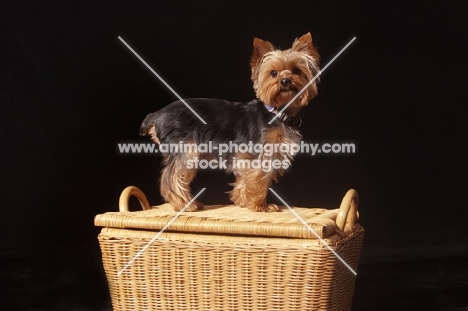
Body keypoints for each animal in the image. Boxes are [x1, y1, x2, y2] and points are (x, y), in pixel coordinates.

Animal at [141, 33, 320, 213]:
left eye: (296, 70)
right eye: (274, 73)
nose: (285, 81)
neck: (278, 113)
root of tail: (157, 114)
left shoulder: (246, 155)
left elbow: (244, 178)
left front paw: (242, 201)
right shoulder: (261, 152)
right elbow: (259, 178)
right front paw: (259, 206)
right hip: (186, 149)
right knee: (171, 178)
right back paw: (185, 205)